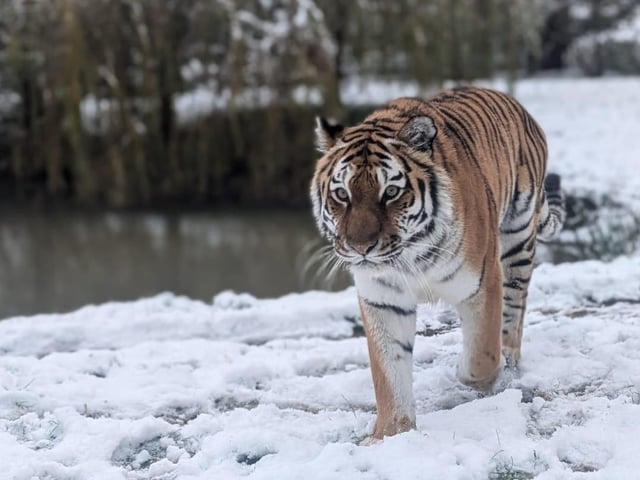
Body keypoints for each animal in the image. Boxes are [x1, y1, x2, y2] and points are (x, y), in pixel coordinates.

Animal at [310, 86, 565, 440]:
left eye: (391, 192)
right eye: (342, 195)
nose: (361, 248)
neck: (411, 255)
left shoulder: (483, 281)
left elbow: (481, 355)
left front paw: (476, 370)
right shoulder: (383, 299)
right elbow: (389, 376)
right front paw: (390, 435)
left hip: (518, 240)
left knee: (514, 312)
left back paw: (509, 359)